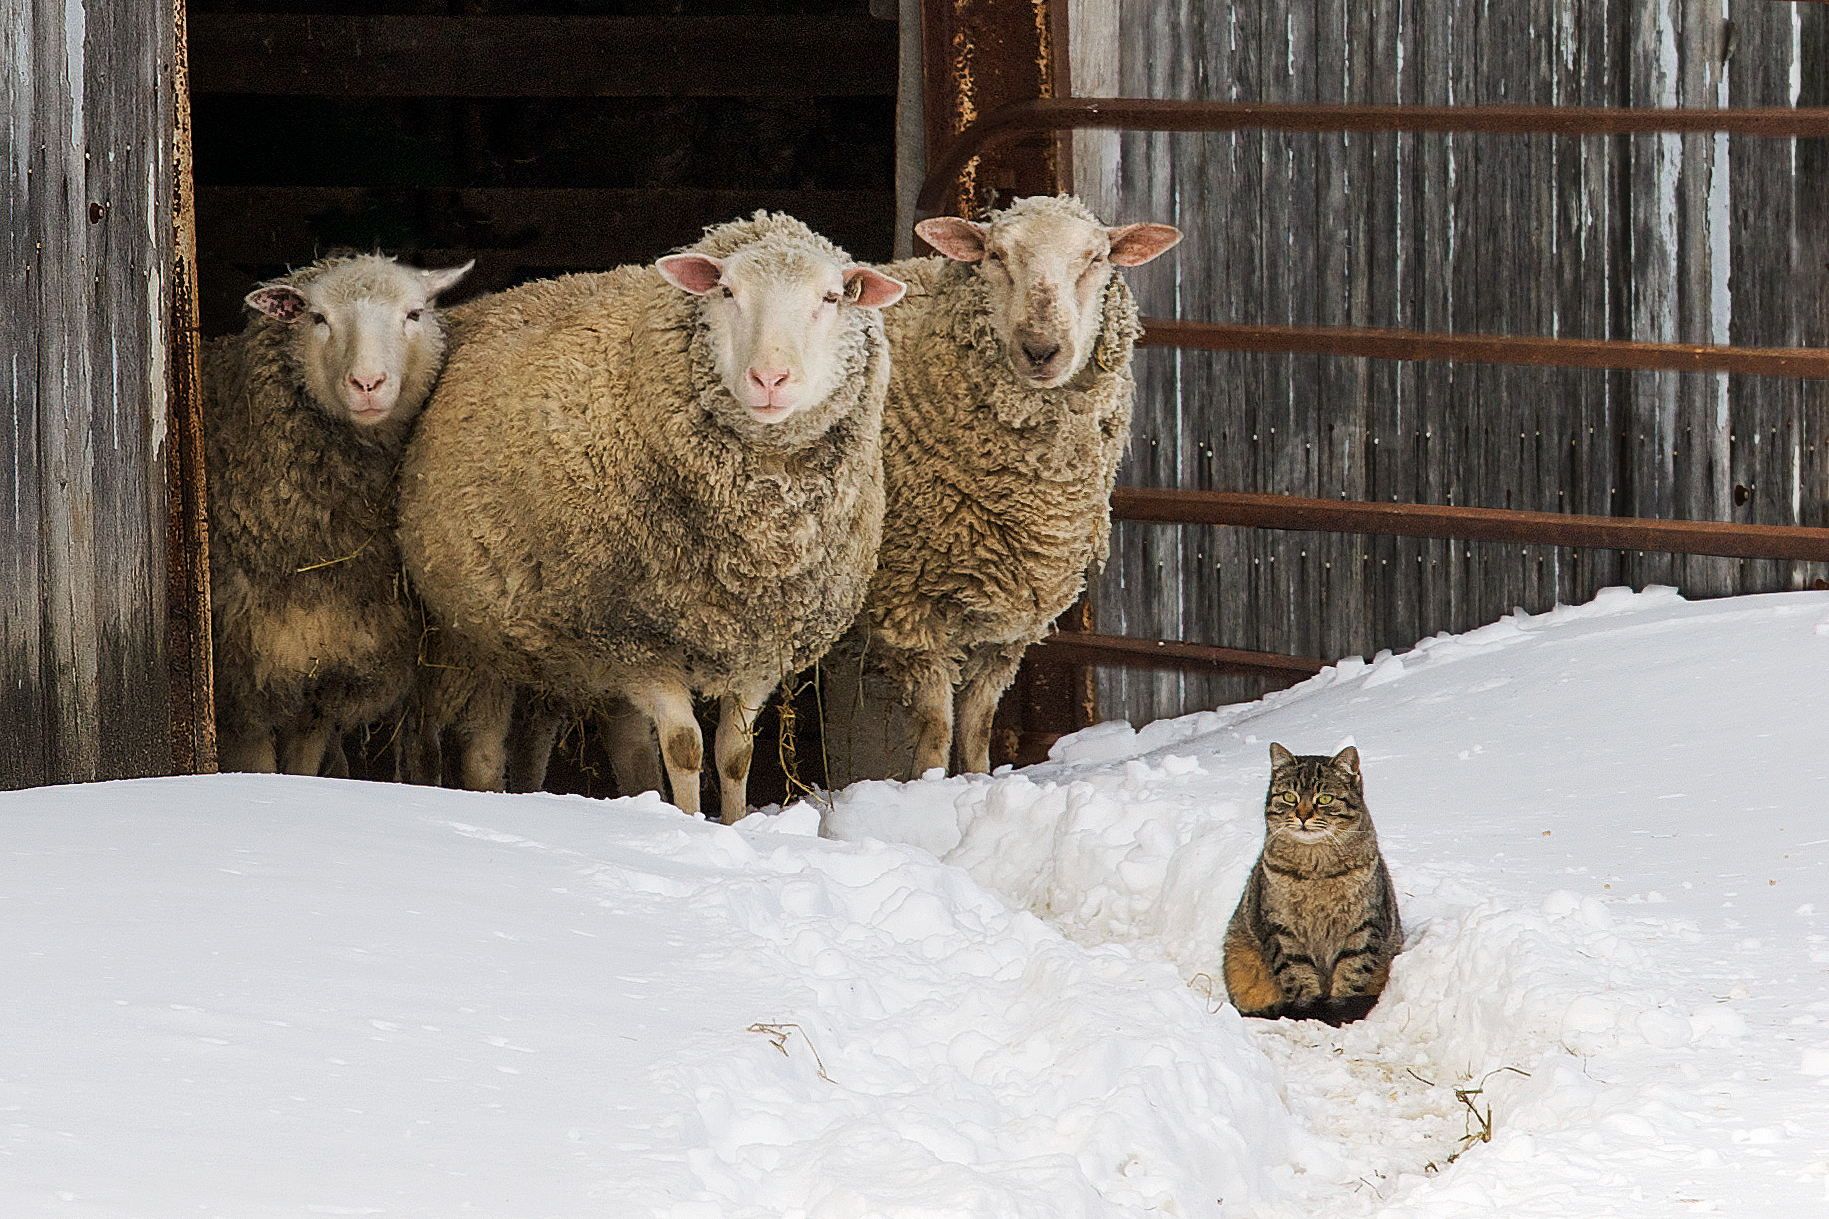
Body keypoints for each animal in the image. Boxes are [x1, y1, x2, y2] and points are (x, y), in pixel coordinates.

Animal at [204, 250, 475, 772]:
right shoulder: (243, 684)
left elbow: (303, 765)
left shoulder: (326, 672)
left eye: (414, 314)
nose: (367, 383)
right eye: (318, 318)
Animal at [404, 211, 910, 816]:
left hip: (552, 650)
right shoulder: (637, 638)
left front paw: (732, 823)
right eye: (726, 291)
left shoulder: (760, 648)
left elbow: (735, 754)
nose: (770, 379)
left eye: (832, 298)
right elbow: (686, 747)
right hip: (469, 637)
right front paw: (688, 821)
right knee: (470, 744)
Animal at [837, 192, 1177, 779]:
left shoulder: (1011, 619)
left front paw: (974, 781)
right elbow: (937, 728)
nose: (1041, 349)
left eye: (1096, 258)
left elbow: (978, 724)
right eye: (995, 255)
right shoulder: (909, 603)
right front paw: (928, 787)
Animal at [1221, 746, 1404, 1017]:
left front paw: (1339, 1009)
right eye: (1289, 796)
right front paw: (1312, 1008)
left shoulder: (1363, 926)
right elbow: (1297, 974)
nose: (1303, 815)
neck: (1315, 871)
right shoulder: (1282, 929)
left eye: (1324, 799)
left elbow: (1352, 971)